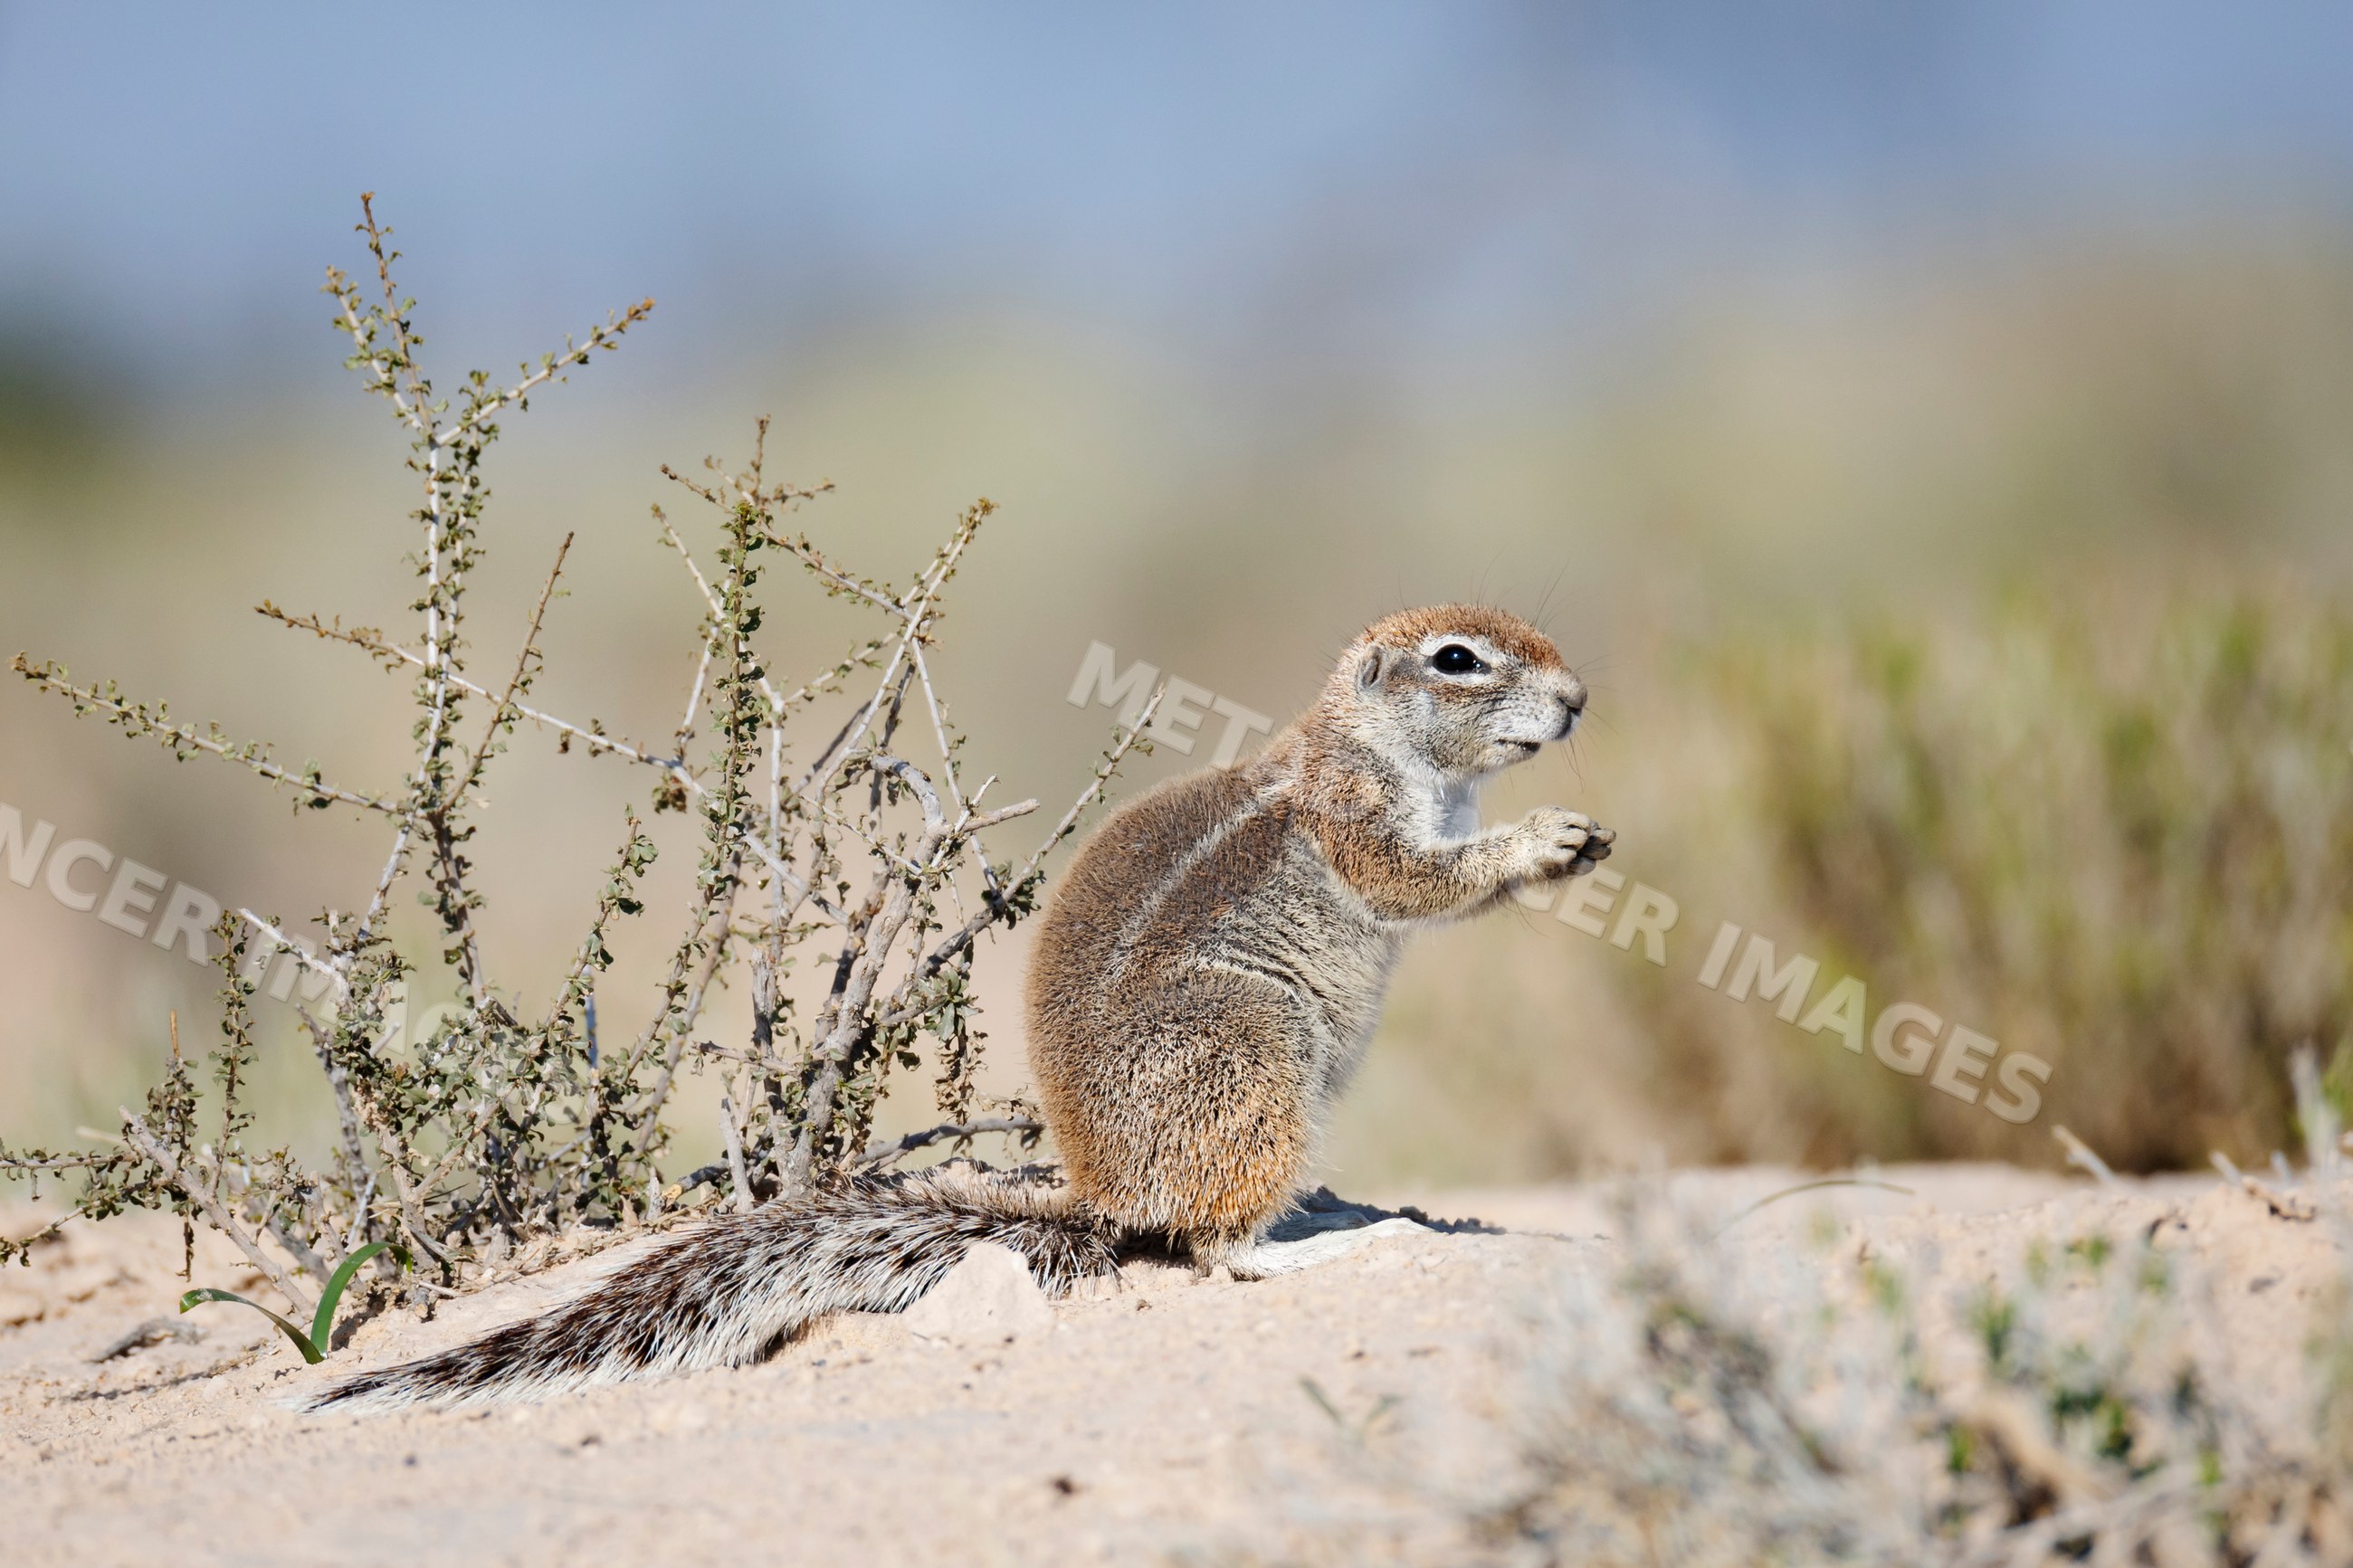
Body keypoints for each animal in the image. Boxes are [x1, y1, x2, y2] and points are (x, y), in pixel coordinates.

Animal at [307, 605, 1610, 1410]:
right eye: (1458, 658)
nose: (1580, 698)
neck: (1373, 745)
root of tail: (1107, 1195)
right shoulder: (1358, 823)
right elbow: (1415, 884)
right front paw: (1542, 840)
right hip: (1256, 1051)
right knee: (1214, 1248)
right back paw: (1331, 1244)